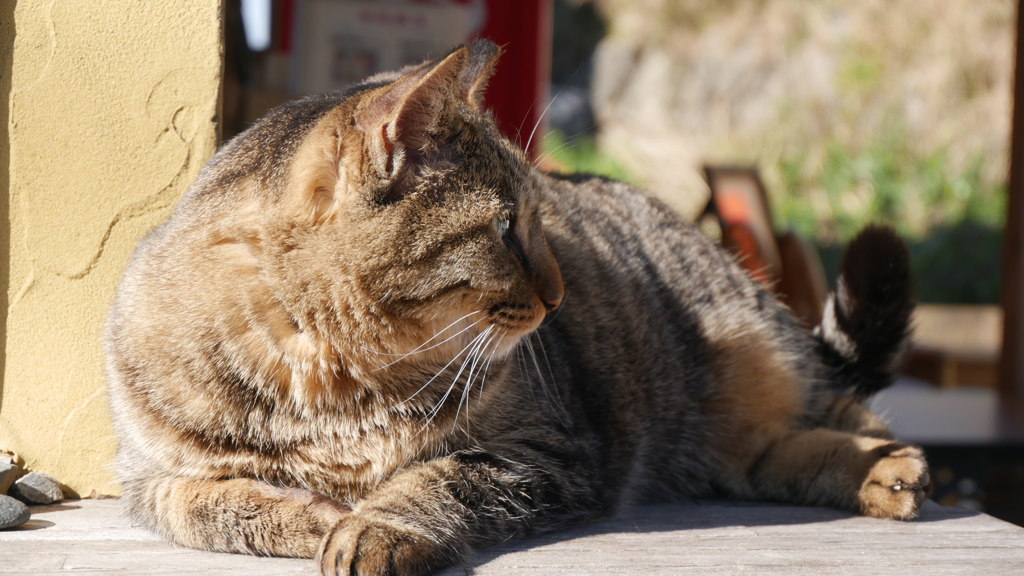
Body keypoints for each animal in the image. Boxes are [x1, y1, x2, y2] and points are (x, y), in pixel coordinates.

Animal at [103, 38, 929, 569]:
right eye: (506, 229)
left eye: (541, 219)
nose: (559, 294)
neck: (331, 377)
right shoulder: (148, 477)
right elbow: (206, 507)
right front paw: (311, 516)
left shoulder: (547, 450)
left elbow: (434, 480)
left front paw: (375, 526)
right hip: (725, 429)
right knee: (769, 455)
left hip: (761, 351)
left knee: (850, 412)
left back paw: (894, 471)